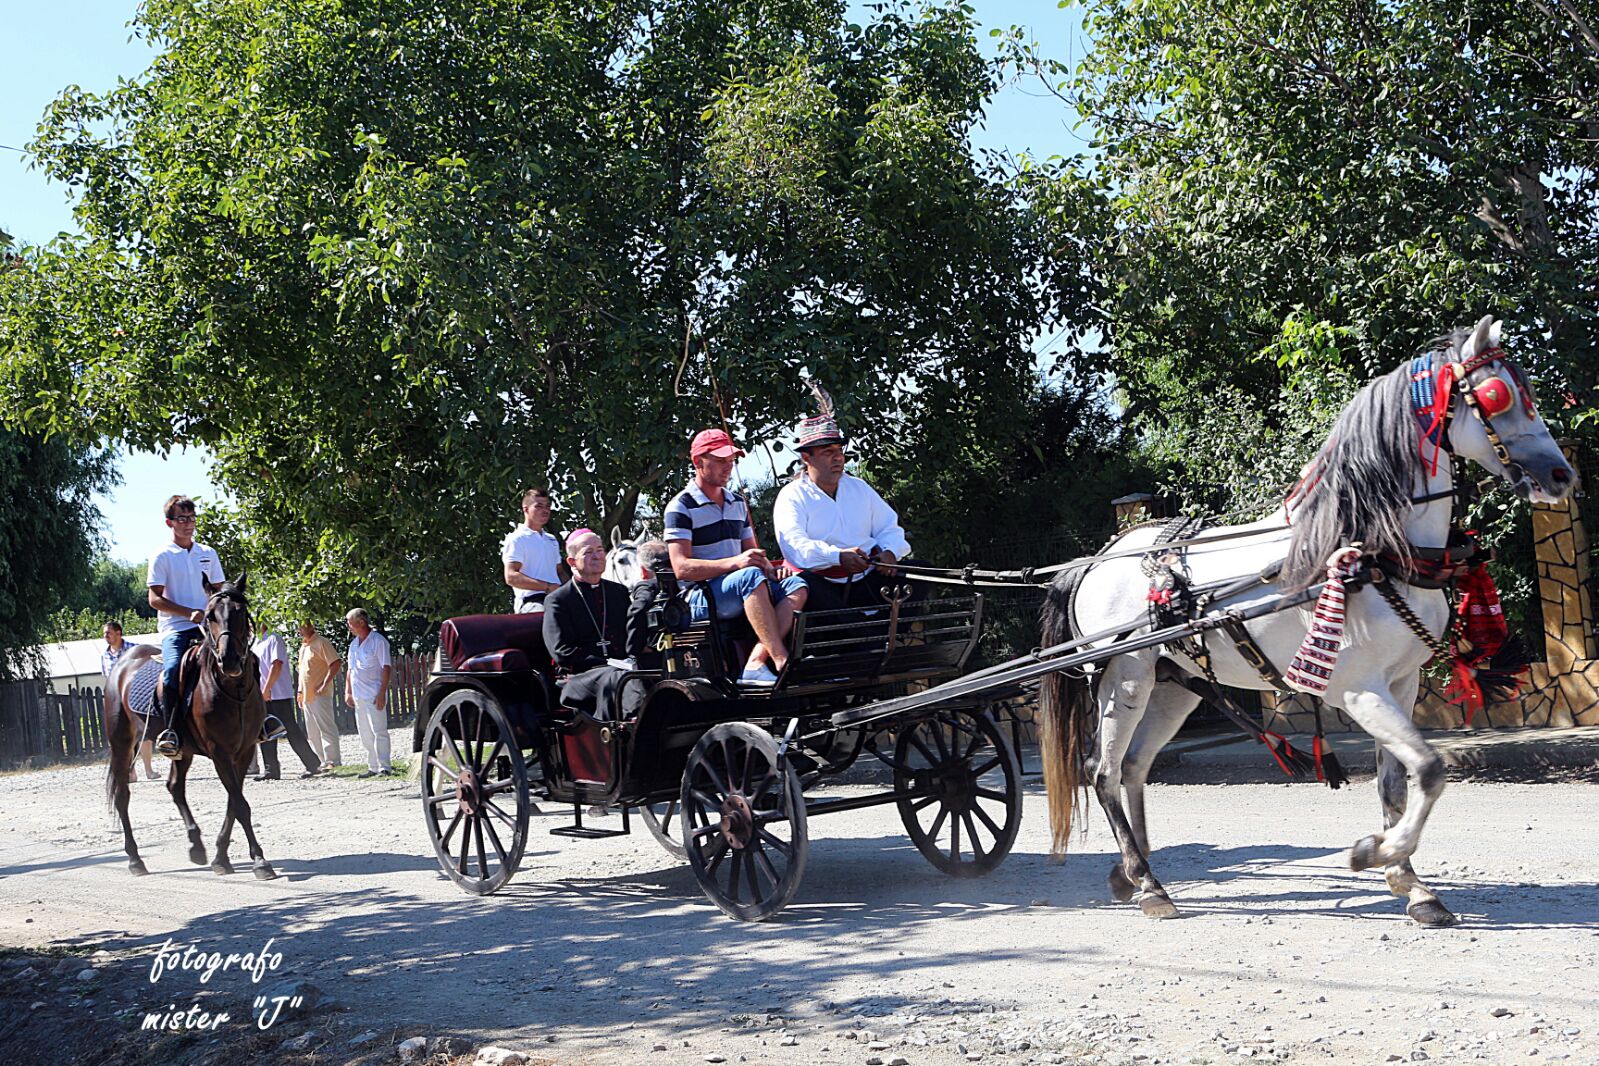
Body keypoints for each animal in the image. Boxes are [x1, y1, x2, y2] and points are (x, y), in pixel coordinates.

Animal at [103, 575, 278, 882]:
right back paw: (135, 860)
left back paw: (196, 846)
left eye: (240, 612)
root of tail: (121, 663)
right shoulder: (220, 752)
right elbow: (241, 805)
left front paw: (221, 858)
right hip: (122, 743)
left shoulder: (243, 751)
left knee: (174, 787)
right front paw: (259, 861)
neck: (232, 690)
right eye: (209, 616)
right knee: (123, 795)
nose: (229, 660)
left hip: (182, 750)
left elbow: (234, 803)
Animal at [1036, 316, 1573, 926]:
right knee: (1101, 770)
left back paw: (1133, 872)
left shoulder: (1402, 685)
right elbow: (1432, 769)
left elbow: (1396, 784)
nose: (1562, 474)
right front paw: (1376, 853)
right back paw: (1146, 882)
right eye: (1498, 396)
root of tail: (1097, 559)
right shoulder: (1360, 691)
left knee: (1133, 767)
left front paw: (1410, 883)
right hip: (1125, 678)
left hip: (1175, 686)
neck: (1370, 546)